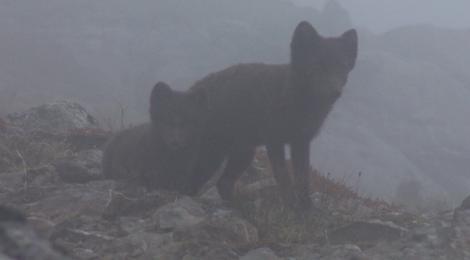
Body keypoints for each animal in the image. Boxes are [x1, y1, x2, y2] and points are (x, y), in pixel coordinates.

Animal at [186, 21, 356, 208]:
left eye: (342, 67)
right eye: (317, 65)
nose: (336, 92)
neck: (293, 99)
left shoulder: (301, 142)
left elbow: (303, 179)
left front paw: (306, 209)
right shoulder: (275, 142)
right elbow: (284, 178)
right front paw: (291, 207)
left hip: (244, 154)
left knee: (223, 183)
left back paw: (240, 206)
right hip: (212, 156)